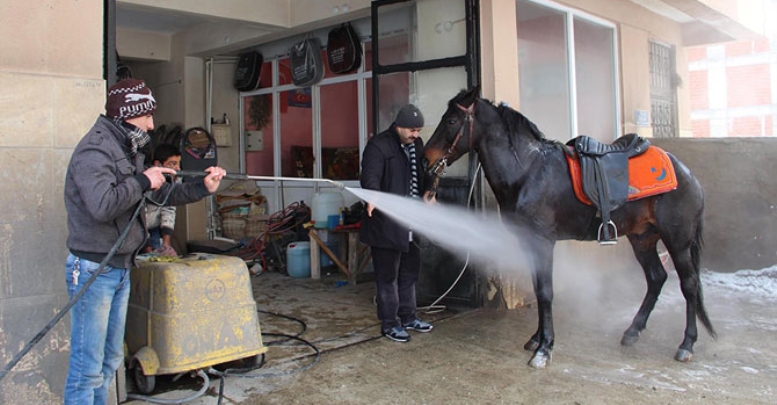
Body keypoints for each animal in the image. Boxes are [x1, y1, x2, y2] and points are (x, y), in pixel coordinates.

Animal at [424, 87, 716, 368]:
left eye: (451, 120)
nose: (427, 159)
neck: (528, 171)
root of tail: (687, 174)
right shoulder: (530, 242)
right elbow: (538, 287)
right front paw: (537, 339)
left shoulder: (543, 242)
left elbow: (545, 291)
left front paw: (544, 348)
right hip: (642, 238)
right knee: (656, 278)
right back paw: (632, 331)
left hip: (677, 240)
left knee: (689, 284)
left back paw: (686, 344)